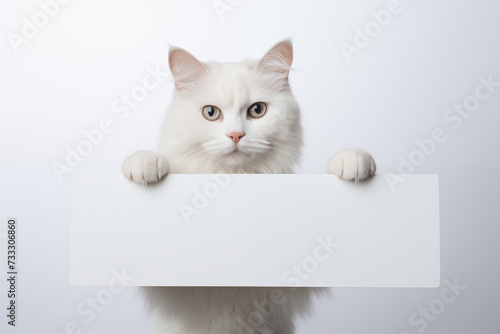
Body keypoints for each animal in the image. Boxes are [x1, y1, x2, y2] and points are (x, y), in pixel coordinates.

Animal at [122, 40, 376, 332]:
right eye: (211, 113)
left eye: (257, 110)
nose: (236, 135)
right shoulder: (178, 290)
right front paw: (144, 163)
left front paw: (352, 160)